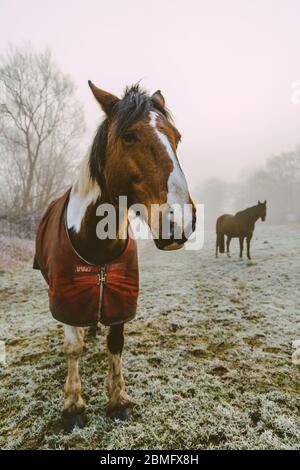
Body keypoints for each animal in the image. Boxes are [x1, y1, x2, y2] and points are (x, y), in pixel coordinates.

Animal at [61, 81, 197, 430]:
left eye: (177, 137)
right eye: (129, 136)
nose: (179, 220)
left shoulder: (120, 296)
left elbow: (116, 343)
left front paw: (118, 401)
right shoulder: (65, 297)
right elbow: (73, 347)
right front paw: (73, 407)